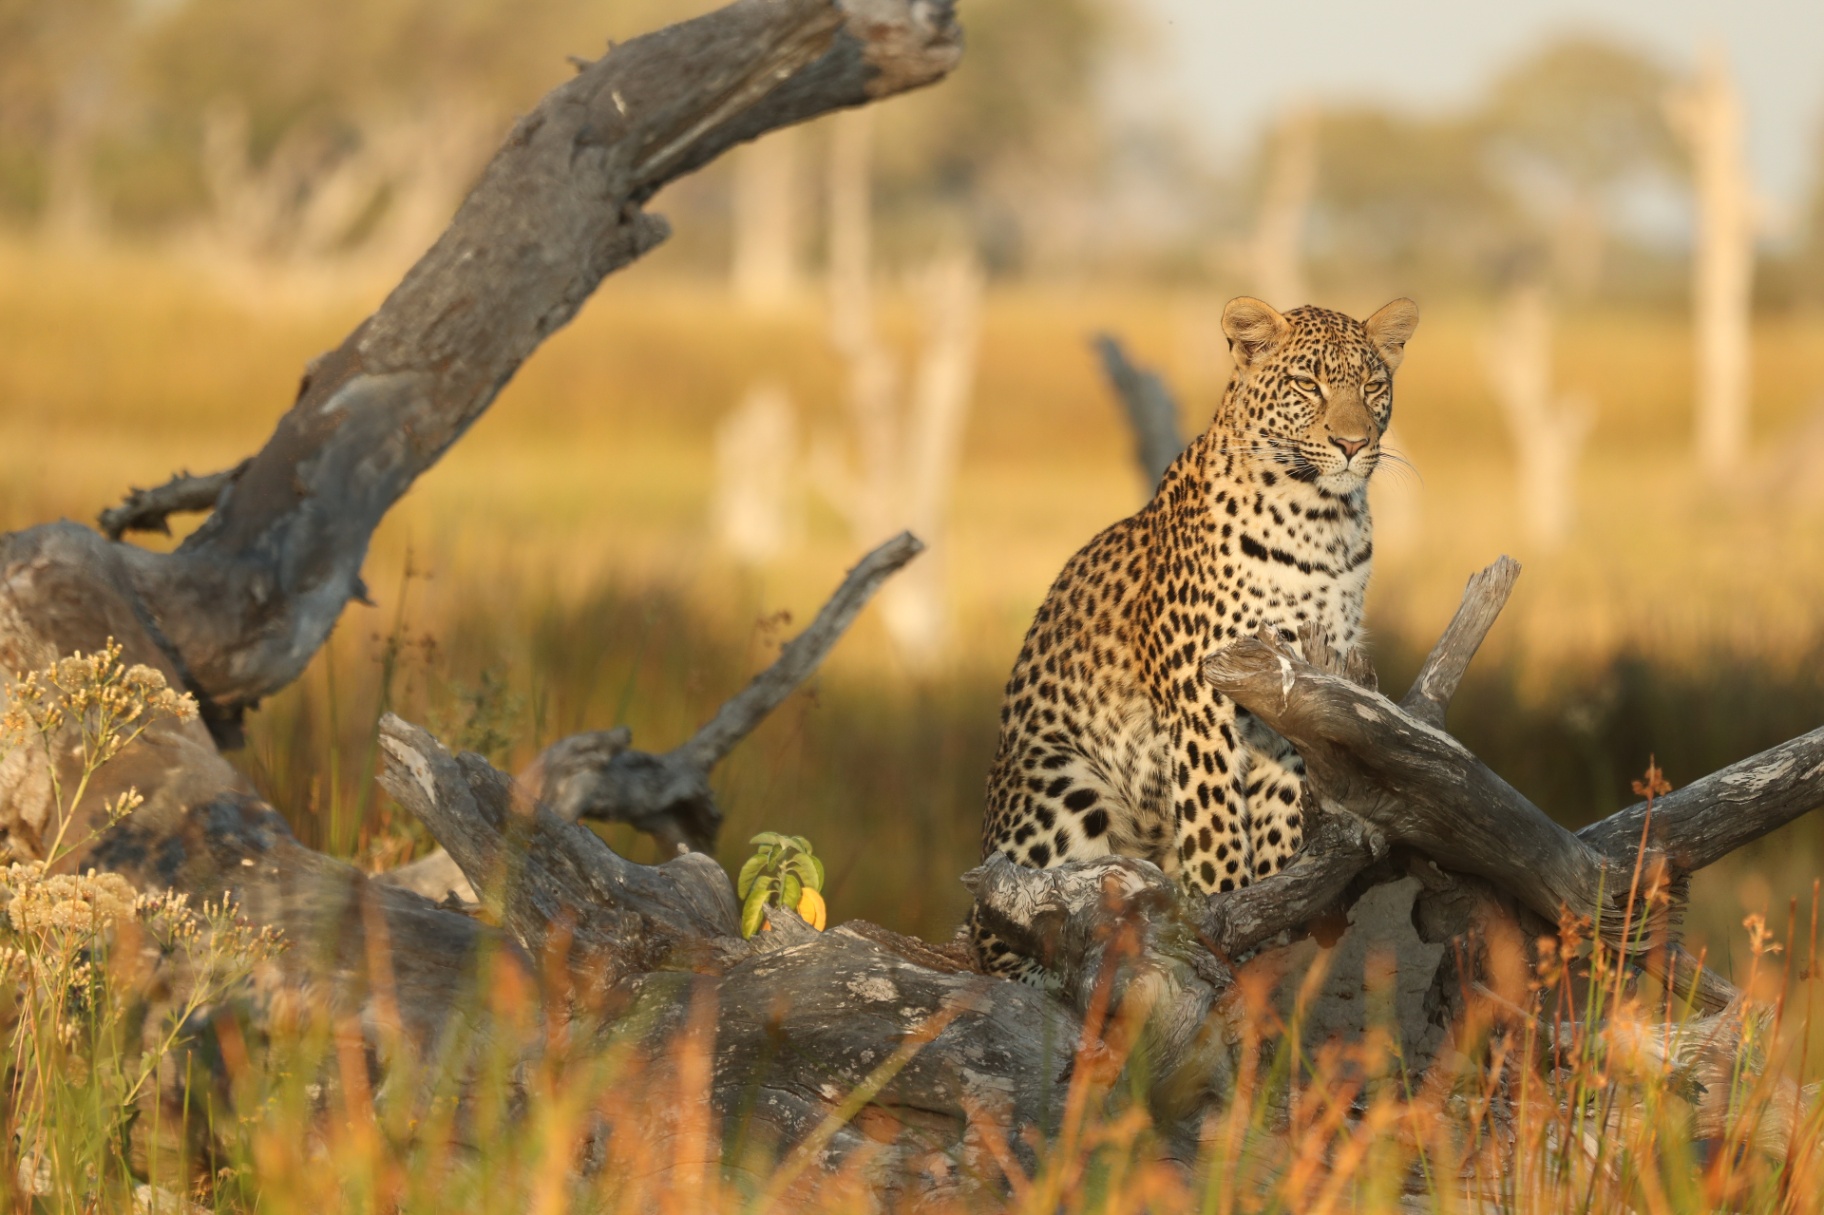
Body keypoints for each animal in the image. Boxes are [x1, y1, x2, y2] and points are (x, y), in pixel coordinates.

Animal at [972, 295, 1420, 981]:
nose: (1352, 443)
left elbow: (1278, 826)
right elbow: (1216, 827)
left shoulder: (1295, 696)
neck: (1320, 523)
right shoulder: (1199, 698)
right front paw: (1222, 922)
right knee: (1003, 928)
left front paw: (1268, 924)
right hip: (1059, 781)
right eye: (1307, 384)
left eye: (1373, 386)